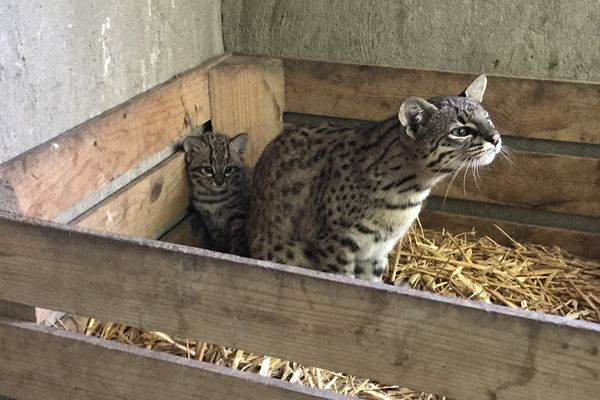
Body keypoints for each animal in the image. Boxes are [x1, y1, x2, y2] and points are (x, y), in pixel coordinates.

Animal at [248, 76, 502, 282]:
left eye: (488, 119)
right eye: (461, 131)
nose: (497, 138)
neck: (409, 190)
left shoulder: (377, 250)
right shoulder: (334, 243)